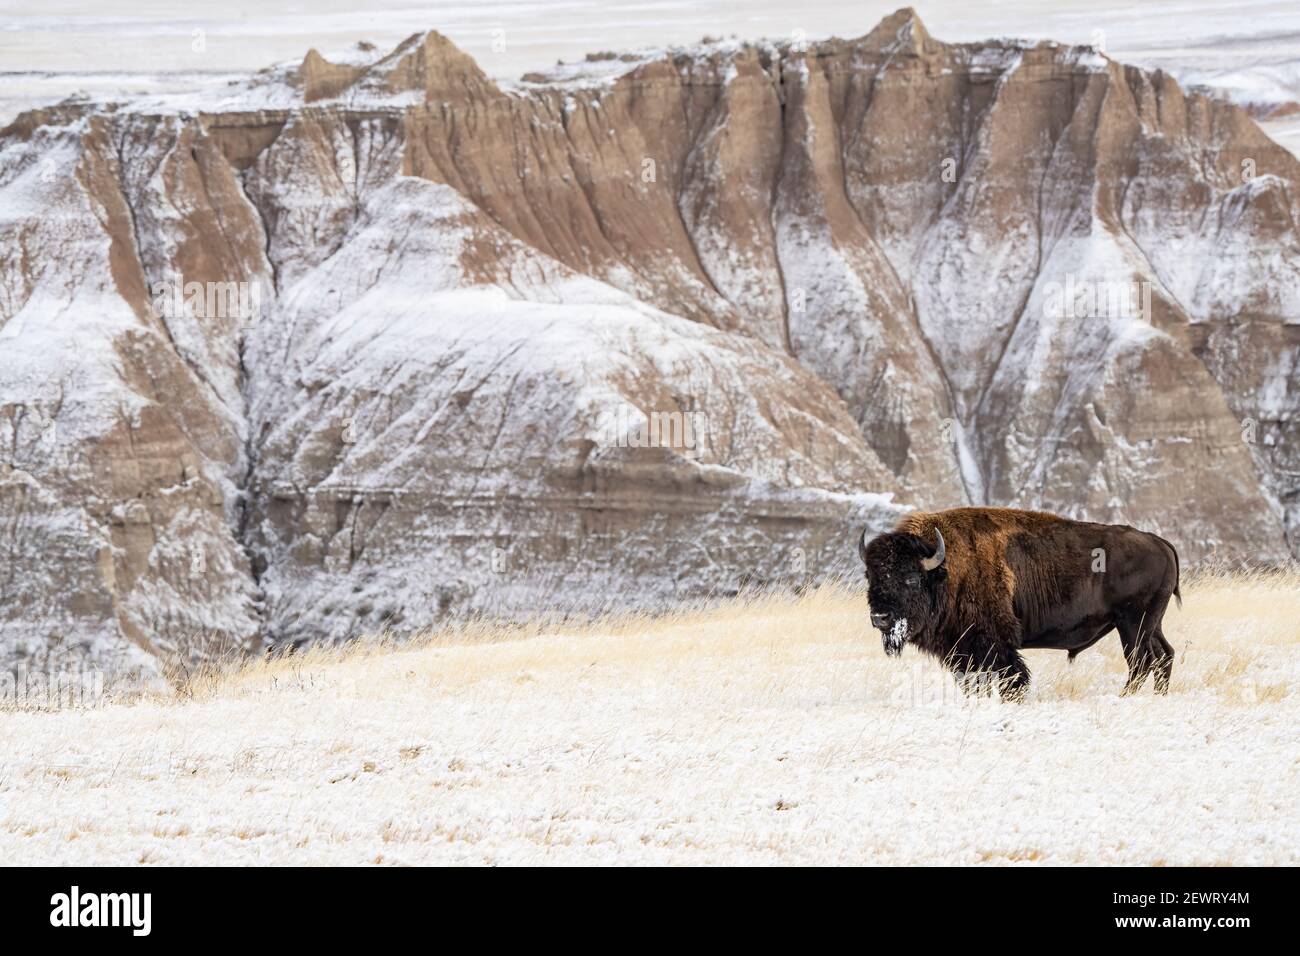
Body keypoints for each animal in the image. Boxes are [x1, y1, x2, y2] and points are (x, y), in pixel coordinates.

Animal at [857, 509, 1185, 702]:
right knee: (1163, 656)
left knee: (1141, 661)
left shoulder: (994, 644)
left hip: (1132, 624)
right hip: (1150, 623)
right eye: (871, 576)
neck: (946, 570)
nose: (880, 617)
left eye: (911, 578)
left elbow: (1011, 677)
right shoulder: (962, 651)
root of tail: (1160, 543)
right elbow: (973, 682)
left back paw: (1125, 697)